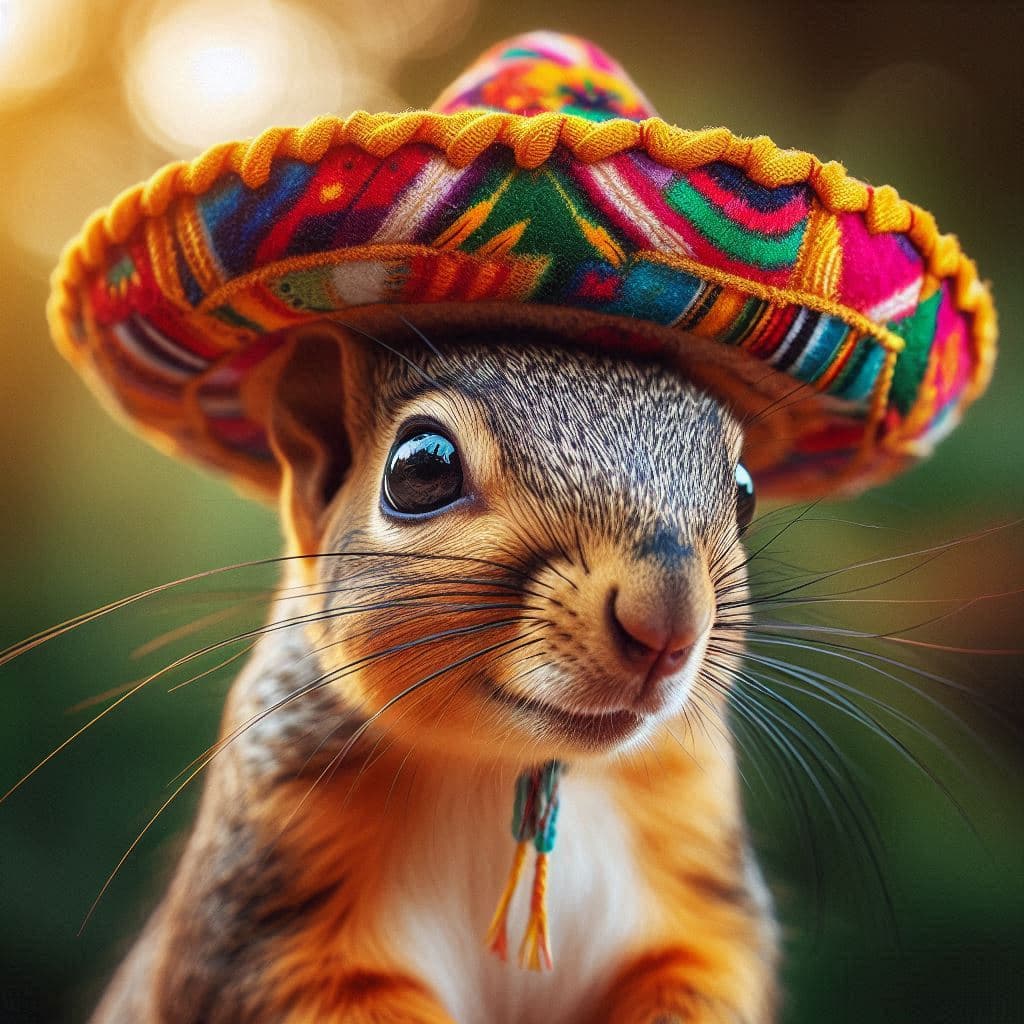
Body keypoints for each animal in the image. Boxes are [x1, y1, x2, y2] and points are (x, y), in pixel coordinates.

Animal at [89, 322, 779, 1023]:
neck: (494, 768)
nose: (668, 626)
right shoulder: (266, 915)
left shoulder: (696, 860)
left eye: (744, 491)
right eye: (423, 467)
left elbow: (703, 968)